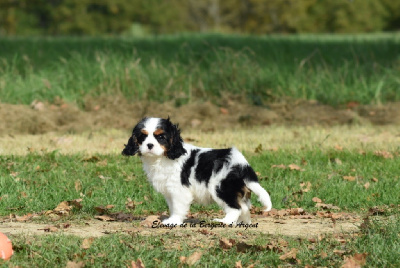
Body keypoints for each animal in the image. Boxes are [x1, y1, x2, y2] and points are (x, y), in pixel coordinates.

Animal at [122, 117, 272, 224]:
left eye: (160, 137)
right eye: (142, 137)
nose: (149, 145)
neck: (163, 157)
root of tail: (243, 164)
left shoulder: (179, 190)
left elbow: (177, 207)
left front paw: (173, 221)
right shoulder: (169, 191)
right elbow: (172, 206)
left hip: (221, 188)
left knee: (236, 208)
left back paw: (224, 222)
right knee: (244, 208)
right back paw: (242, 223)